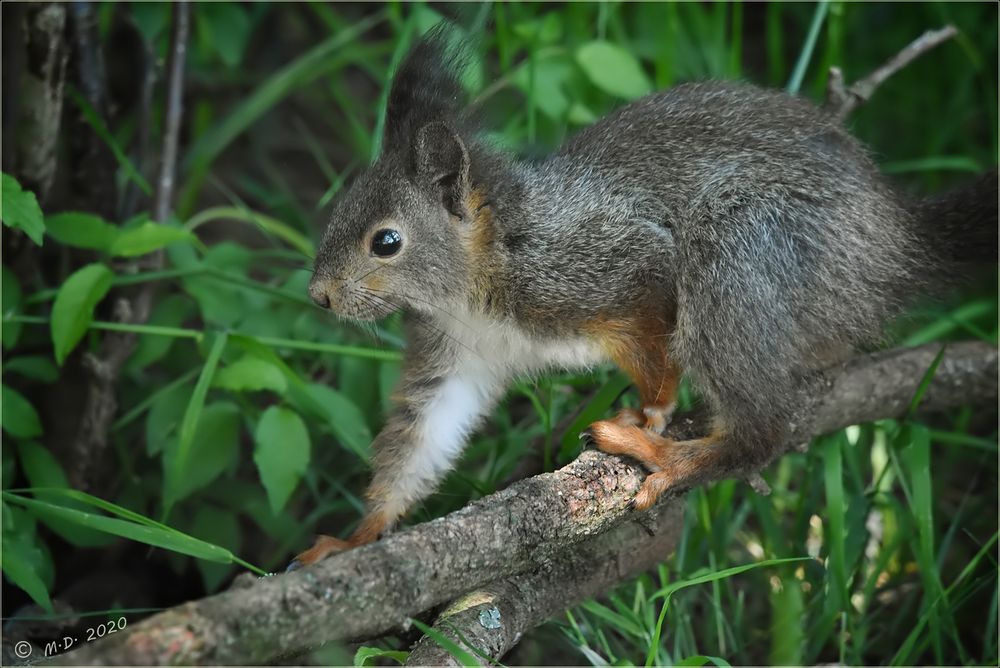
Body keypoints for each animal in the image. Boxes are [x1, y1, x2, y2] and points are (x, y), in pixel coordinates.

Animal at [288, 28, 992, 568]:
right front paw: (355, 539)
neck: (477, 282)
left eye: (386, 241)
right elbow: (425, 433)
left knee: (761, 431)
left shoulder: (615, 264)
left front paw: (653, 408)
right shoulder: (459, 355)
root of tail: (899, 242)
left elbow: (657, 341)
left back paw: (668, 457)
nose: (319, 296)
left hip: (742, 249)